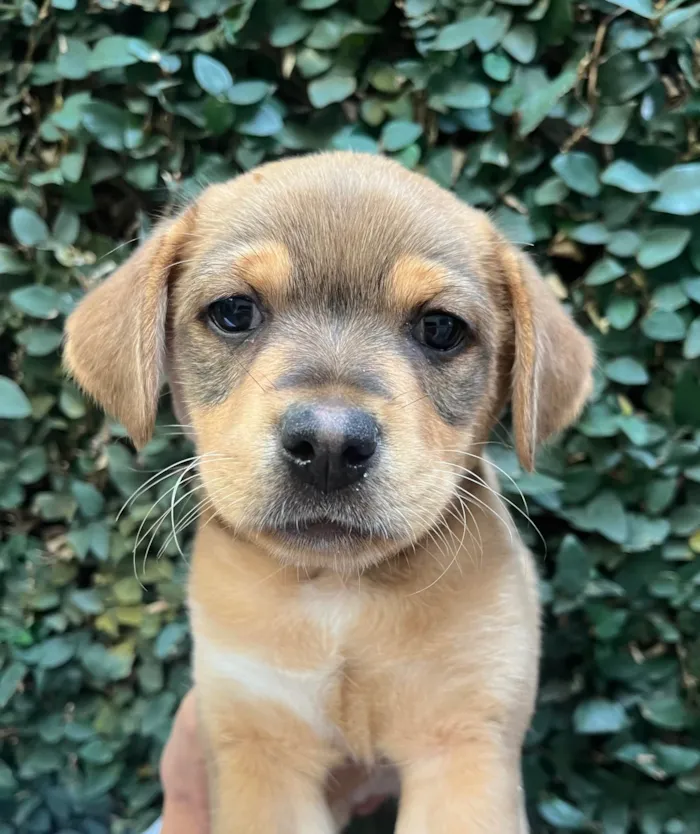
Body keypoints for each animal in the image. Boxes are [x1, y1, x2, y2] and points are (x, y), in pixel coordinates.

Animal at [65, 151, 592, 832]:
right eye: (234, 312)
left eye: (441, 328)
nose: (330, 446)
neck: (342, 598)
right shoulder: (259, 749)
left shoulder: (465, 741)